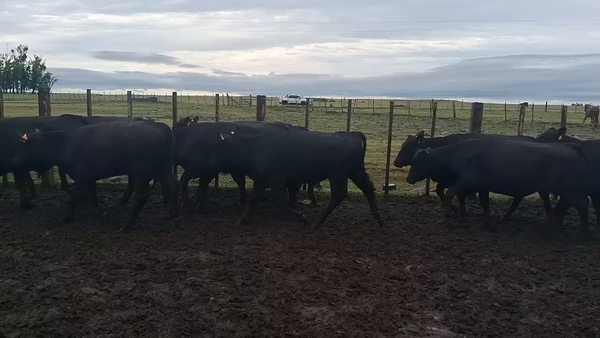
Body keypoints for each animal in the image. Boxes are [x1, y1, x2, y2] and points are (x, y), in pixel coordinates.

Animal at [14, 119, 178, 232]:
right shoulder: (88, 178)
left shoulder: (82, 176)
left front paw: (67, 217)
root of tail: (161, 127)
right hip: (163, 169)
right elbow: (88, 195)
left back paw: (126, 225)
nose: (15, 160)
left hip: (140, 174)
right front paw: (96, 211)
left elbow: (75, 195)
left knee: (142, 196)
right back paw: (171, 214)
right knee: (173, 187)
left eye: (25, 147)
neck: (65, 143)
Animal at [209, 129, 382, 227]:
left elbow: (280, 201)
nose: (208, 160)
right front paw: (240, 221)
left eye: (216, 147)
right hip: (355, 173)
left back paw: (317, 222)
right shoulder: (261, 180)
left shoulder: (277, 181)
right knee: (368, 188)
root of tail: (352, 134)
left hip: (337, 175)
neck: (253, 147)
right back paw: (378, 217)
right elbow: (252, 200)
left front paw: (301, 216)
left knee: (339, 195)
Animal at [406, 139, 596, 236]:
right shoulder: (482, 186)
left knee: (582, 203)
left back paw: (584, 231)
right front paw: (488, 224)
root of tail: (570, 146)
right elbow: (485, 203)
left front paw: (448, 219)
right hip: (565, 190)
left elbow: (449, 194)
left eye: (416, 161)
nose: (409, 178)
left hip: (568, 189)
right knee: (571, 204)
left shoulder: (467, 180)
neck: (460, 153)